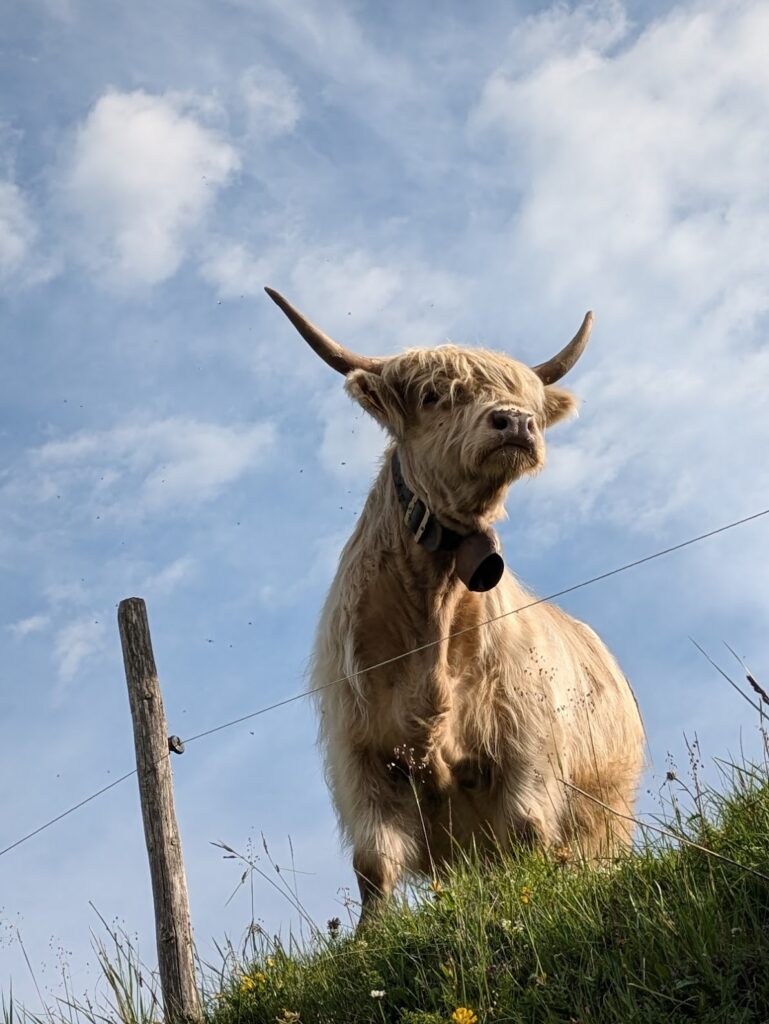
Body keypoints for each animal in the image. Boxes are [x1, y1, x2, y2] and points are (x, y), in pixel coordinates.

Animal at [268, 288, 647, 921]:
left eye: (527, 401)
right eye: (432, 395)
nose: (516, 422)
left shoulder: (527, 749)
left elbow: (527, 833)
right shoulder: (362, 756)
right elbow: (374, 862)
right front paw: (369, 937)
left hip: (606, 806)